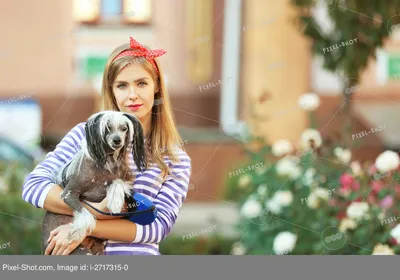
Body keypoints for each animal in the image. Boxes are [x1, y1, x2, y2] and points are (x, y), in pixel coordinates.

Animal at [41, 110, 147, 255]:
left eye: (124, 128)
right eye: (107, 127)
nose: (117, 140)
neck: (106, 162)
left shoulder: (122, 179)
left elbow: (118, 182)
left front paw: (115, 201)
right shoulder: (68, 194)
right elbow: (85, 213)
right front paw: (75, 233)